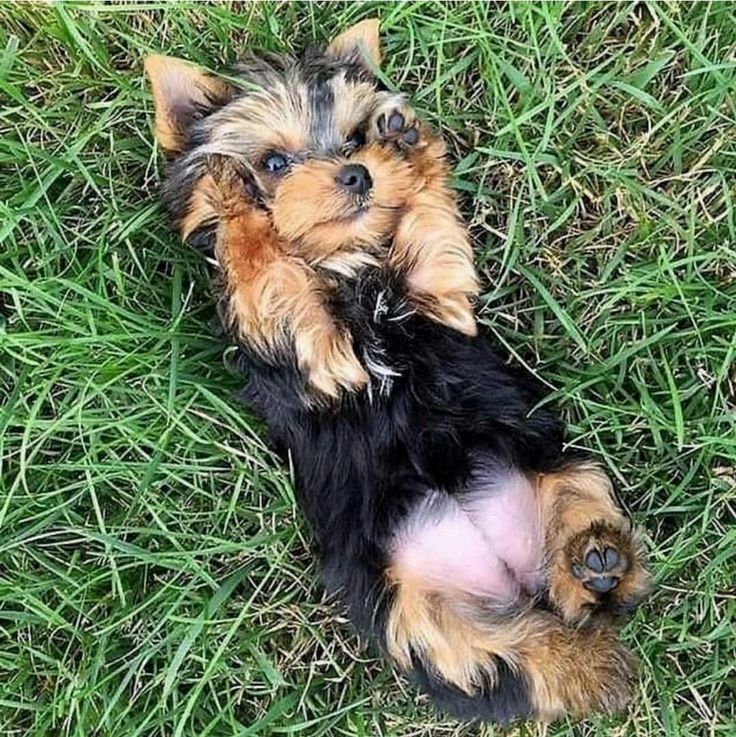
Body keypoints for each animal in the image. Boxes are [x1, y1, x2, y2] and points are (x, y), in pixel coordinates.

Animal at [147, 18, 652, 724]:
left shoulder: (441, 302)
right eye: (273, 162)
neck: (353, 273)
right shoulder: (312, 358)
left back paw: (595, 562)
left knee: (579, 559)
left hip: (564, 474)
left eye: (355, 138)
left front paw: (407, 145)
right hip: (407, 610)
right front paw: (230, 194)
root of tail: (509, 578)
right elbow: (263, 271)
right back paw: (580, 631)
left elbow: (435, 237)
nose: (359, 171)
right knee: (500, 652)